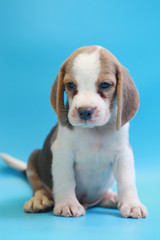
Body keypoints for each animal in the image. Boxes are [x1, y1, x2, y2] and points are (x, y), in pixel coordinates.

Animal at [0, 46, 148, 218]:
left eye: (105, 85)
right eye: (70, 85)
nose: (85, 111)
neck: (95, 132)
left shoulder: (123, 154)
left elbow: (127, 181)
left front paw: (132, 204)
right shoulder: (63, 153)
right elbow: (66, 181)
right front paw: (68, 204)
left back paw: (112, 197)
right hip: (34, 157)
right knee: (39, 187)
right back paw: (39, 199)